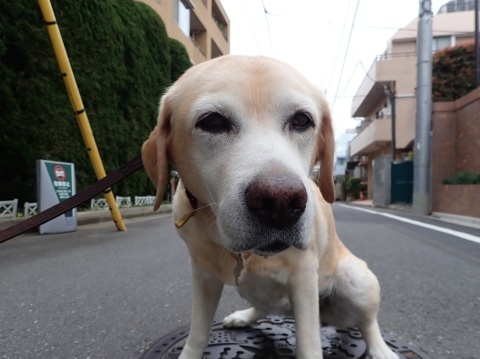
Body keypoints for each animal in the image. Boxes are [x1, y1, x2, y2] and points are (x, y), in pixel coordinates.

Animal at [142, 54, 398, 359]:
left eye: (301, 120)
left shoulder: (304, 278)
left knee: (368, 324)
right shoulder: (203, 275)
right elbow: (198, 333)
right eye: (212, 121)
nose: (280, 201)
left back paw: (382, 350)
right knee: (263, 308)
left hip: (356, 279)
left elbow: (309, 344)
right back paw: (244, 316)